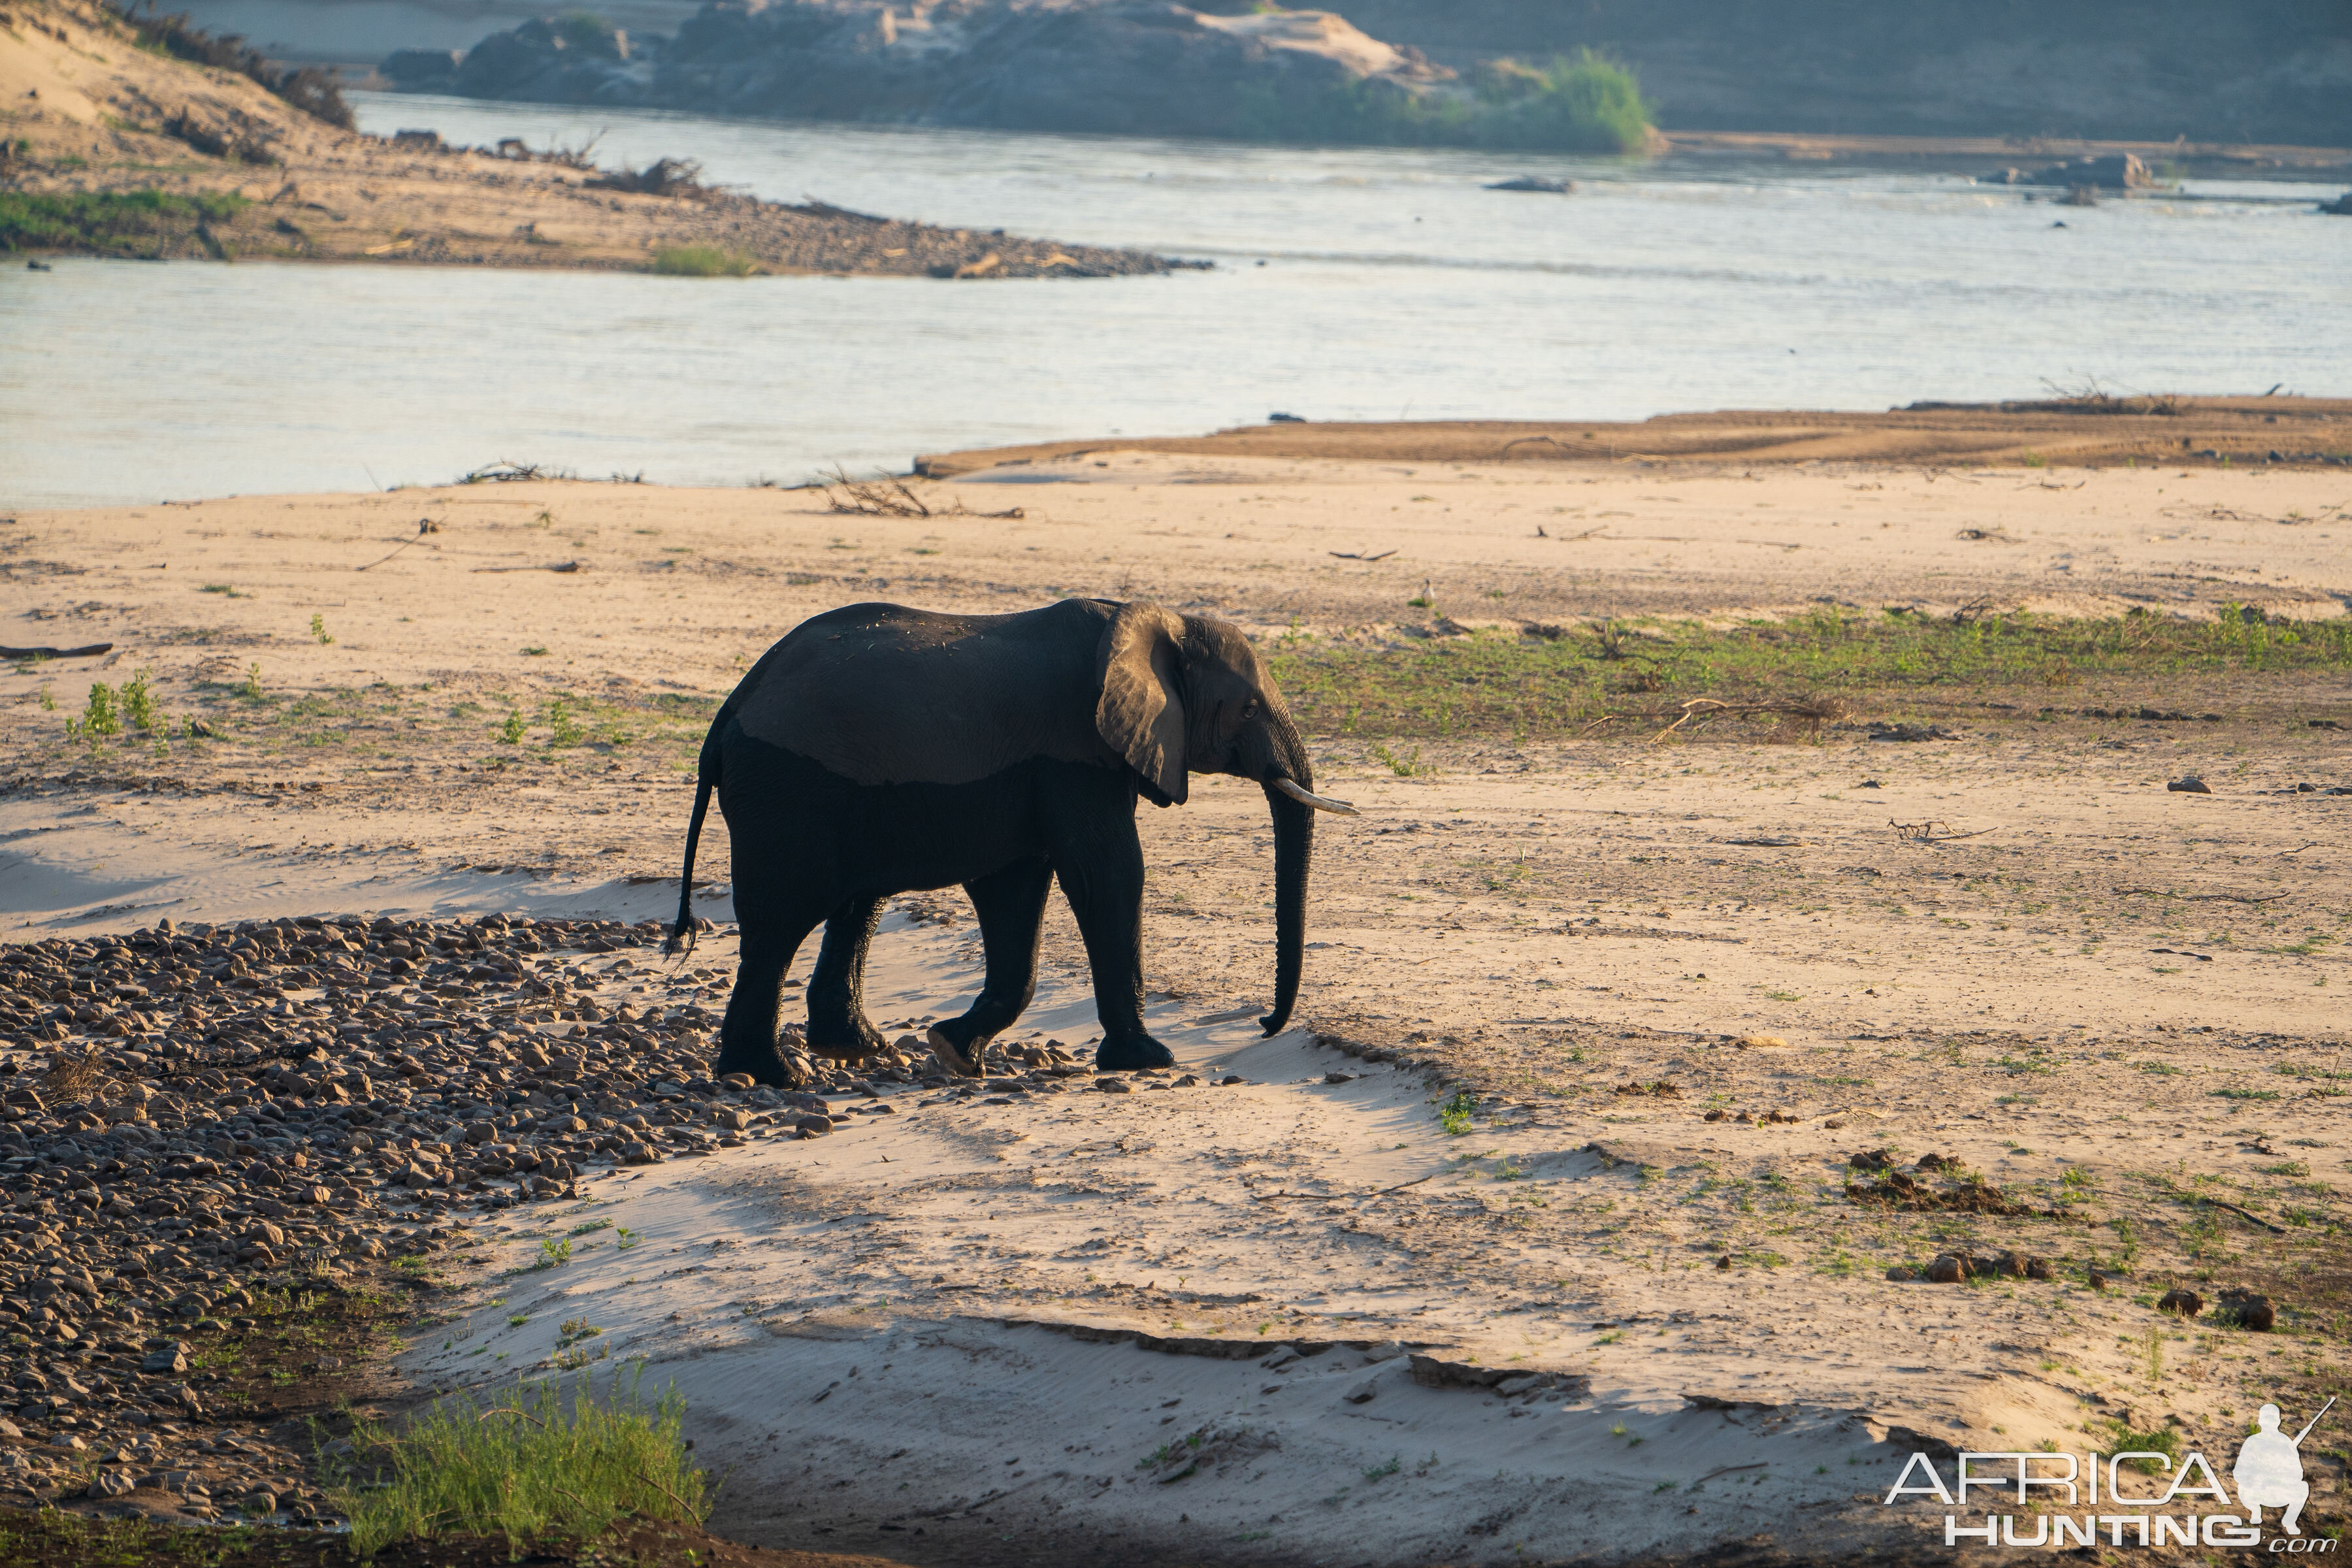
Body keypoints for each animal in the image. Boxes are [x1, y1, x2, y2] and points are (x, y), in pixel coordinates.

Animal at [672, 595, 1354, 1086]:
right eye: (1247, 709)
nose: (1264, 1024)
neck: (1157, 622)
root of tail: (727, 716)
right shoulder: (1076, 754)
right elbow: (1109, 874)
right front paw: (1150, 1059)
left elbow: (1016, 890)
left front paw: (954, 1052)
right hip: (787, 793)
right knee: (779, 924)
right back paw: (771, 1076)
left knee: (853, 905)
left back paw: (854, 1050)